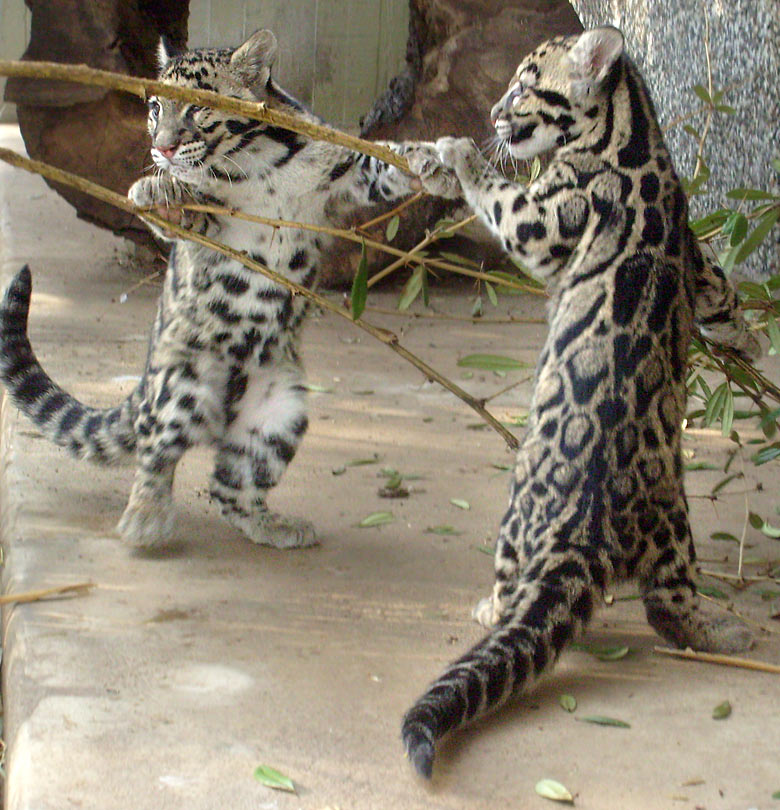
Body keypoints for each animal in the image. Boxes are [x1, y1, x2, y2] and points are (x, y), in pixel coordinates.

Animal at [0, 31, 458, 548]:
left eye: (198, 109)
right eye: (155, 108)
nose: (161, 148)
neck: (258, 161)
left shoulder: (344, 172)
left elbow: (381, 161)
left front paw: (430, 164)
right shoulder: (213, 223)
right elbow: (183, 208)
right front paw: (155, 194)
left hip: (279, 415)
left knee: (228, 485)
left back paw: (273, 525)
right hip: (180, 386)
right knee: (156, 455)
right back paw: (145, 520)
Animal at [402, 26, 760, 776]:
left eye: (522, 87)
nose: (492, 116)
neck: (635, 133)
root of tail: (589, 530)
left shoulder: (544, 216)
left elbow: (503, 198)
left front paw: (458, 154)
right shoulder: (695, 250)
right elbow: (719, 285)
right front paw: (749, 336)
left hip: (517, 516)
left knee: (517, 587)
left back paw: (490, 609)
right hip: (674, 528)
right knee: (670, 606)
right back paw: (722, 633)